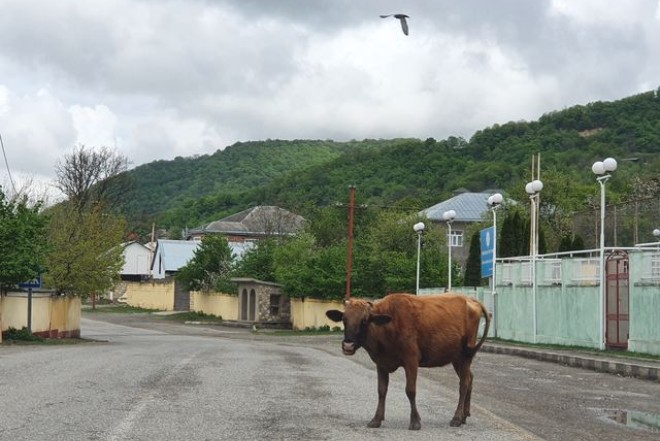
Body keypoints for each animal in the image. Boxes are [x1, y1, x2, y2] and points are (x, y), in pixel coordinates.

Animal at [324, 292, 490, 430]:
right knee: (469, 378)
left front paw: (415, 421)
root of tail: (470, 299)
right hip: (456, 358)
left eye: (364, 321)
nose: (348, 345)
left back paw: (456, 418)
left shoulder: (411, 360)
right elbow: (381, 390)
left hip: (466, 354)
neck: (389, 324)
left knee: (464, 383)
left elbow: (410, 390)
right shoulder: (381, 363)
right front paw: (376, 419)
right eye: (344, 320)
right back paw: (464, 415)